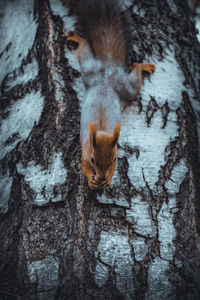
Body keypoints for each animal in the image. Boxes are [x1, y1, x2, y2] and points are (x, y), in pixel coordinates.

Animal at [61, 0, 155, 190]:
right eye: (92, 159)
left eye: (114, 159)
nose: (102, 175)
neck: (102, 131)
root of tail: (107, 70)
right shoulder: (84, 153)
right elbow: (84, 168)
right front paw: (92, 181)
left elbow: (113, 171)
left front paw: (108, 179)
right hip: (91, 69)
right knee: (84, 50)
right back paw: (77, 38)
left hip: (123, 86)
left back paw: (143, 66)